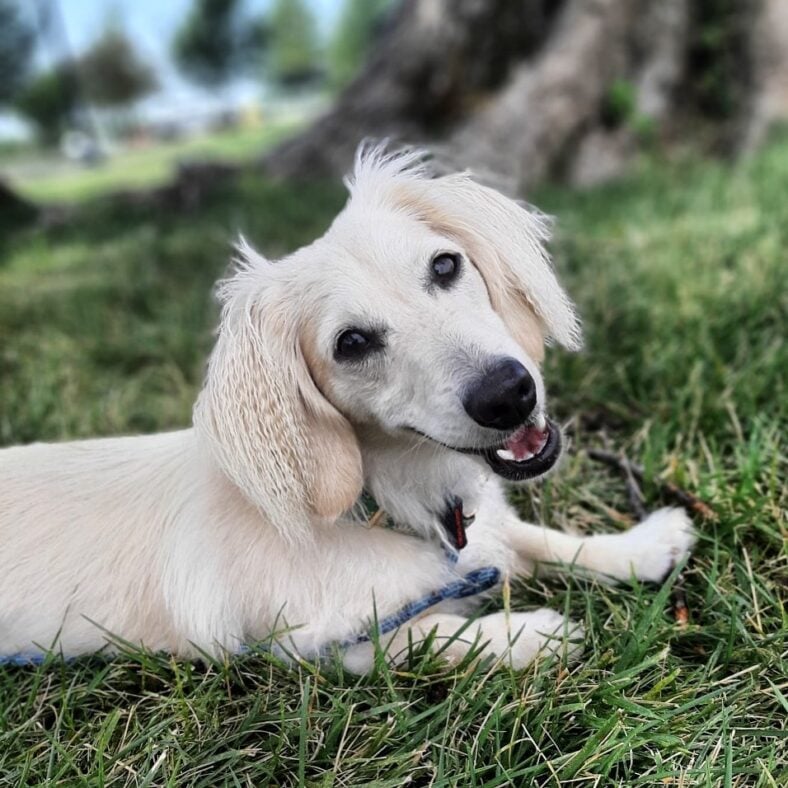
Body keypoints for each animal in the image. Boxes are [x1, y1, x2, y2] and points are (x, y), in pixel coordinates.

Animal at [0, 148, 692, 672]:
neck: (392, 504)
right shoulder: (321, 644)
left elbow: (545, 539)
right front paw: (532, 635)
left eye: (446, 264)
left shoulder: (488, 530)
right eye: (351, 343)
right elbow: (435, 634)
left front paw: (641, 547)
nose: (508, 393)